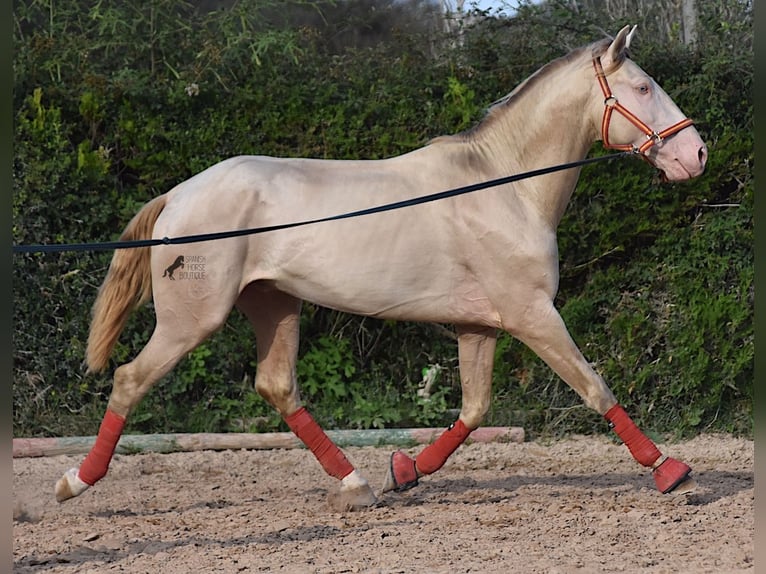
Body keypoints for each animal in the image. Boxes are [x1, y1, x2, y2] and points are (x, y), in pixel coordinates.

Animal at [57, 25, 712, 508]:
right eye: (644, 88)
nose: (696, 154)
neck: (502, 186)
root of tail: (179, 194)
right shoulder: (532, 315)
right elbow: (595, 388)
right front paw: (670, 470)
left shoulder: (480, 326)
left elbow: (473, 410)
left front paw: (405, 469)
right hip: (193, 320)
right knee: (130, 380)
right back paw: (72, 484)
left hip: (273, 304)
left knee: (277, 386)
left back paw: (358, 484)